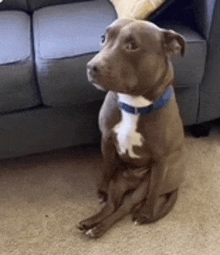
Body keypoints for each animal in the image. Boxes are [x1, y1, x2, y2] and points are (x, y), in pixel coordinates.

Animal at [77, 18, 186, 238]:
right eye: (104, 38)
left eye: (133, 45)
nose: (91, 66)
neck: (133, 104)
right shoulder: (107, 141)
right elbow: (106, 168)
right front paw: (102, 190)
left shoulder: (160, 161)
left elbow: (153, 192)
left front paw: (146, 213)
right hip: (119, 183)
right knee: (112, 206)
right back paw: (91, 223)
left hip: (146, 184)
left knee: (125, 208)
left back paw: (100, 228)